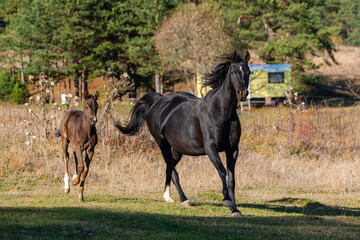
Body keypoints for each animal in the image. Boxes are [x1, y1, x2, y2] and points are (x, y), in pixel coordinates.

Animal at [114, 50, 250, 216]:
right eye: (233, 72)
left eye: (248, 72)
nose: (242, 93)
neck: (222, 112)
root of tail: (158, 101)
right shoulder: (211, 149)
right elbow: (222, 171)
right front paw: (226, 200)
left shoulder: (233, 149)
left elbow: (231, 179)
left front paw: (234, 208)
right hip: (163, 144)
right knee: (173, 171)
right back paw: (184, 199)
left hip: (177, 150)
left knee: (169, 167)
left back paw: (167, 197)